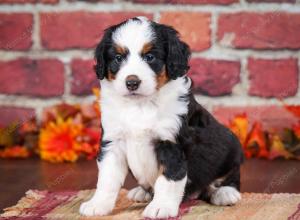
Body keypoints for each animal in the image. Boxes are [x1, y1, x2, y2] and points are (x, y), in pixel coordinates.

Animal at [79, 16, 244, 218]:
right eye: (118, 58)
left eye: (150, 57)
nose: (132, 82)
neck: (140, 105)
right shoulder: (113, 141)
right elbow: (107, 178)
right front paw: (98, 204)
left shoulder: (171, 144)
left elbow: (168, 179)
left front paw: (161, 207)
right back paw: (141, 192)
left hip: (232, 147)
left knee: (230, 176)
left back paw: (225, 193)